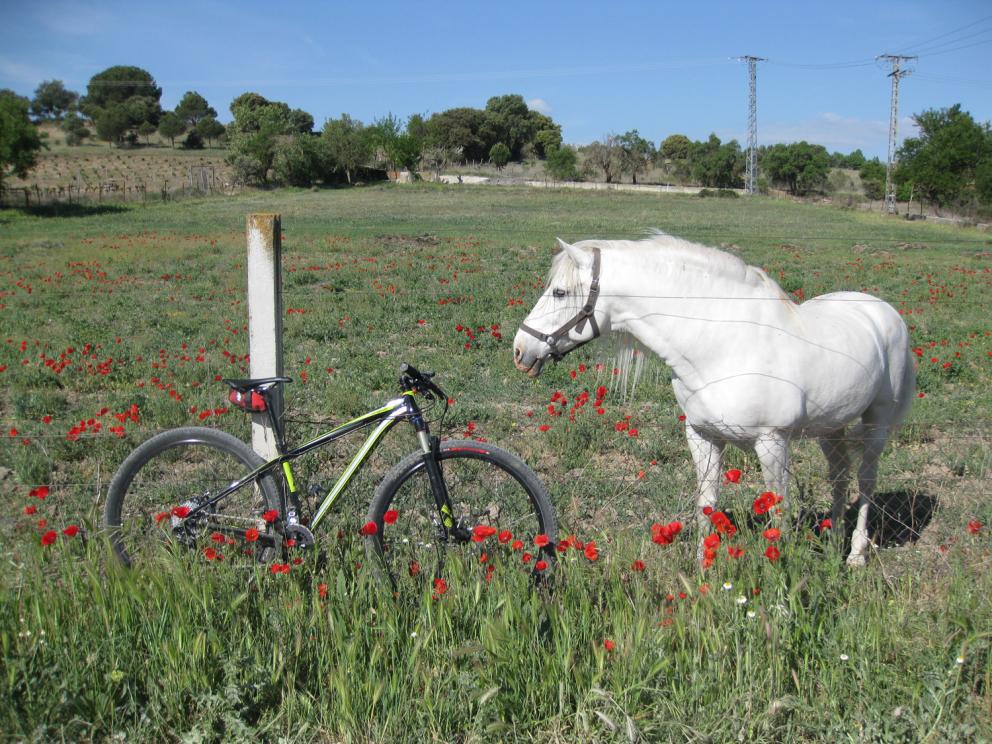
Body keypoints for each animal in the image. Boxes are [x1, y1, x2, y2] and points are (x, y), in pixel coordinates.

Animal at [512, 234, 916, 566]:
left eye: (560, 292)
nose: (520, 349)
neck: (723, 344)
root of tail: (884, 311)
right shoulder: (702, 436)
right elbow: (707, 504)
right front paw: (702, 568)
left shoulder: (772, 441)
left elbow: (778, 513)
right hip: (831, 427)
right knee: (840, 475)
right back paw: (832, 542)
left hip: (876, 424)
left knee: (865, 482)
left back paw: (856, 555)